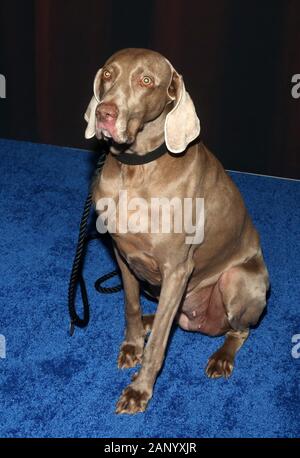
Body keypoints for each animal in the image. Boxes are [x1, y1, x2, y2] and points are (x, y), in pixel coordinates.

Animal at [84, 48, 270, 414]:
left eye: (146, 81)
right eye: (108, 75)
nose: (104, 113)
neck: (136, 169)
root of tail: (202, 324)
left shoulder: (177, 268)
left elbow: (158, 345)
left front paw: (139, 390)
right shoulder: (122, 254)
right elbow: (130, 305)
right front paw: (132, 345)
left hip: (238, 280)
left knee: (239, 331)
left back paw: (221, 357)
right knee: (166, 319)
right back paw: (149, 322)